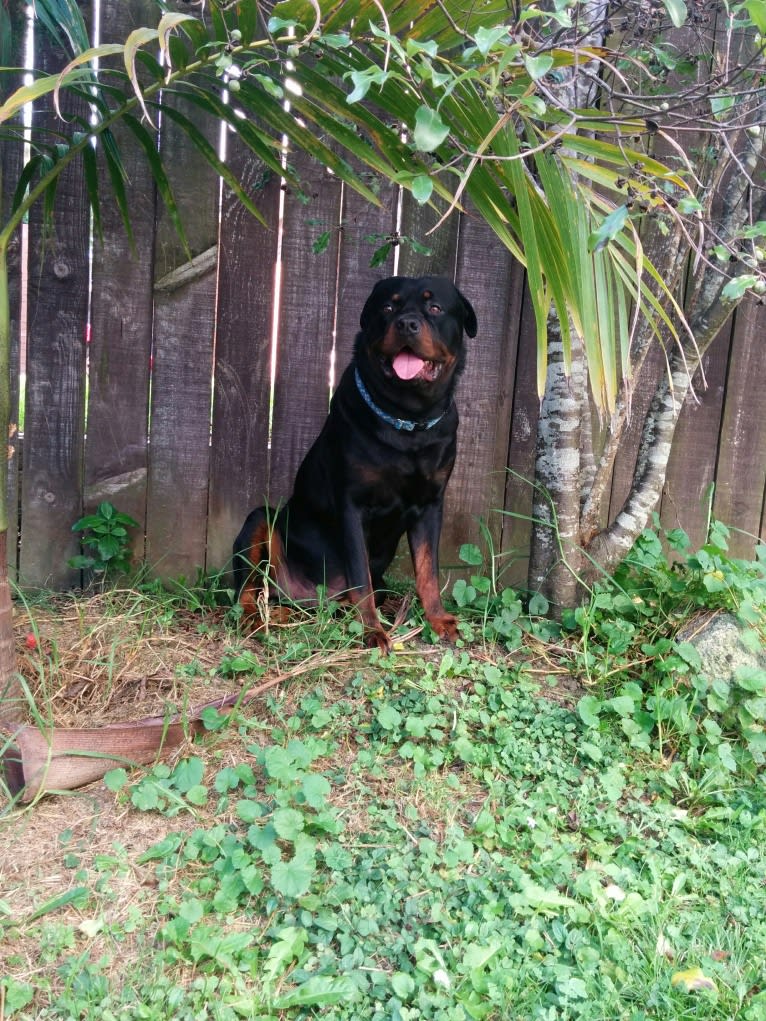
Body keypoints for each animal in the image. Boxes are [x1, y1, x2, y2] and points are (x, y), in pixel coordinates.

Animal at [230, 275, 477, 649]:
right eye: (387, 307)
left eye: (435, 307)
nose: (407, 323)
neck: (408, 419)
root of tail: (312, 596)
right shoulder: (352, 506)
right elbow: (361, 574)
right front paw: (372, 631)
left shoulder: (431, 505)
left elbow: (428, 571)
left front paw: (437, 619)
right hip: (259, 522)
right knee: (251, 588)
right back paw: (256, 620)